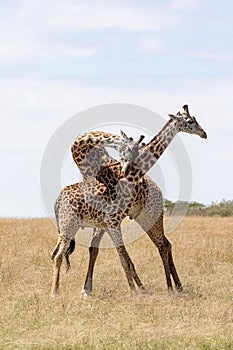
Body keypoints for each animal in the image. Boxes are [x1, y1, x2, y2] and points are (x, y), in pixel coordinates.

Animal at [51, 104, 208, 298]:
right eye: (189, 121)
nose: (203, 133)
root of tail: (57, 202)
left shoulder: (111, 223)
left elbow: (121, 257)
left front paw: (136, 289)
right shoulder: (112, 222)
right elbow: (122, 258)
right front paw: (134, 291)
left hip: (144, 218)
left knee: (164, 244)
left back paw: (175, 286)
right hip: (71, 226)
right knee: (58, 254)